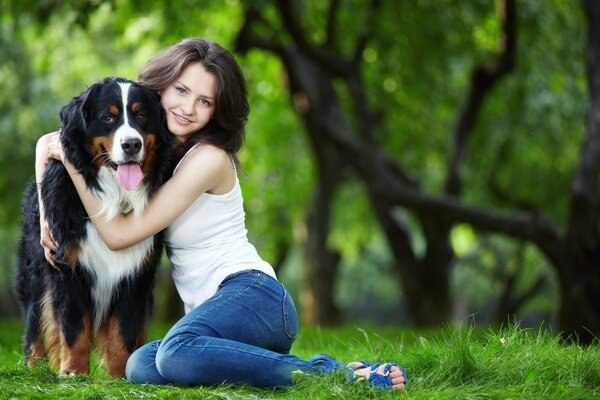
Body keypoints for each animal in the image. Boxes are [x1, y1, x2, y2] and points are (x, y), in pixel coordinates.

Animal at [14, 76, 172, 378]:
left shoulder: (135, 273)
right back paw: (34, 367)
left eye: (142, 116)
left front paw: (119, 375)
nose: (131, 144)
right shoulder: (68, 267)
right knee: (35, 328)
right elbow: (74, 329)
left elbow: (123, 331)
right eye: (108, 118)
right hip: (34, 276)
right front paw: (73, 372)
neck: (114, 196)